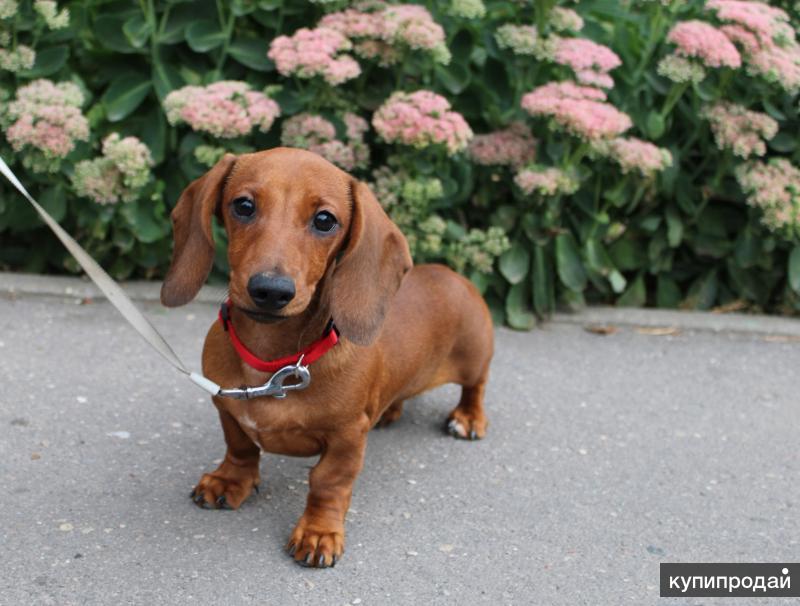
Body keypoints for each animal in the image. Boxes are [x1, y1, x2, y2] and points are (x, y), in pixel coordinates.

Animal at [162, 147, 494, 568]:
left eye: (324, 220)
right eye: (243, 205)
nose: (271, 290)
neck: (274, 364)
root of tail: (453, 275)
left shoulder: (347, 438)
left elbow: (328, 482)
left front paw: (318, 532)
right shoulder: (226, 407)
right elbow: (240, 447)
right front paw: (230, 480)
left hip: (475, 355)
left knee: (475, 387)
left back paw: (467, 418)